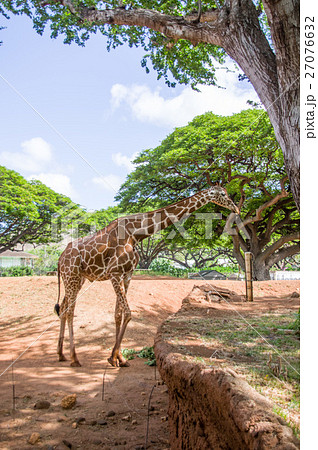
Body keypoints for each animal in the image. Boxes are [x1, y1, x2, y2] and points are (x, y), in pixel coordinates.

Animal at [54, 185, 238, 368]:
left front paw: (120, 358)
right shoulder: (114, 273)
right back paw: (74, 358)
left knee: (62, 308)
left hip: (77, 279)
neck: (136, 233)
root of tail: (60, 258)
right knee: (69, 311)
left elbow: (118, 314)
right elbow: (128, 313)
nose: (236, 208)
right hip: (71, 276)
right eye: (223, 194)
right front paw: (113, 358)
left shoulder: (127, 274)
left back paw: (61, 354)